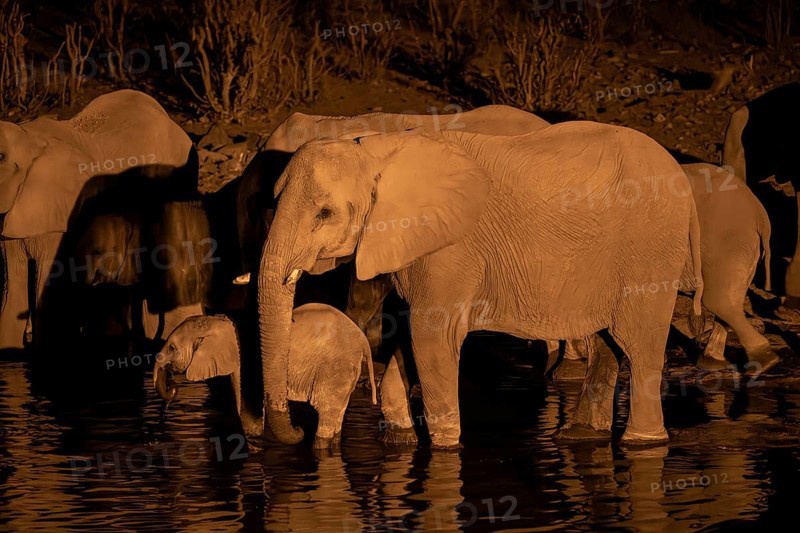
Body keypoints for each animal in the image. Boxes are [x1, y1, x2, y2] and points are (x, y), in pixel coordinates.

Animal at [152, 306, 376, 448]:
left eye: (171, 348)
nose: (172, 388)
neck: (215, 320)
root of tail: (364, 341)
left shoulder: (244, 359)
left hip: (335, 368)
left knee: (326, 412)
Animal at [254, 121, 702, 448]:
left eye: (325, 213)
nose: (297, 431)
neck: (372, 148)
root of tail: (681, 175)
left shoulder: (449, 249)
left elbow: (430, 335)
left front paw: (445, 447)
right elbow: (405, 334)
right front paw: (401, 437)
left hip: (650, 249)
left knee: (638, 343)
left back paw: (643, 442)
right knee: (607, 342)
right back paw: (580, 435)